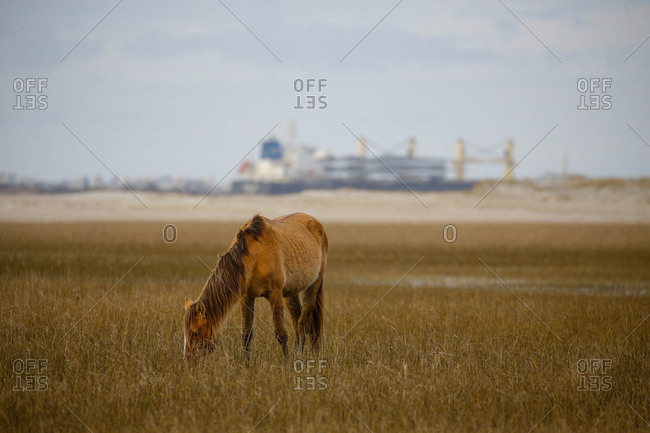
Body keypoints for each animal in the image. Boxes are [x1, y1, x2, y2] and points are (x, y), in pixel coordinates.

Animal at [183, 212, 328, 359]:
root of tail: (315, 221)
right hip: (291, 292)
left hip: (313, 286)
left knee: (304, 322)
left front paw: (286, 361)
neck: (253, 255)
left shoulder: (275, 295)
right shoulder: (246, 297)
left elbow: (281, 333)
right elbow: (246, 333)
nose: (188, 357)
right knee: (296, 321)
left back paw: (299, 355)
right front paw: (245, 362)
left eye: (195, 332)